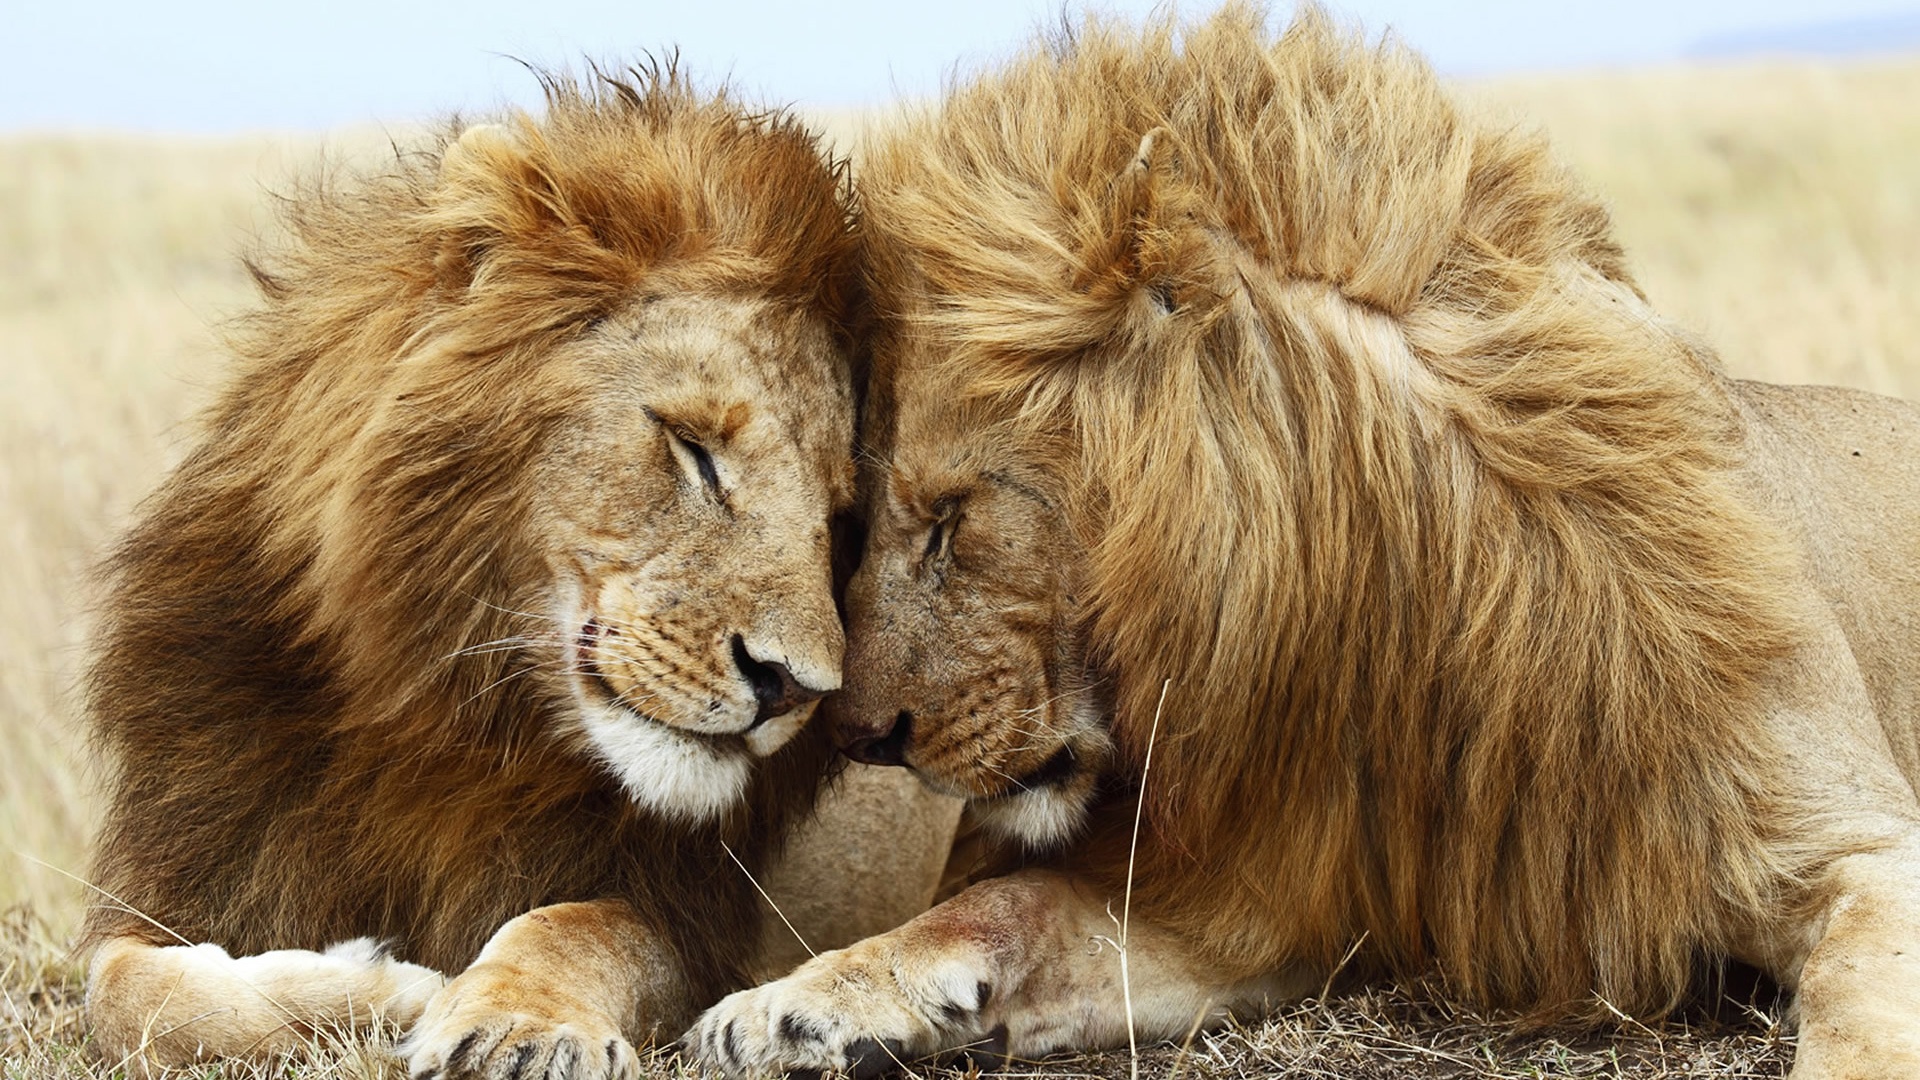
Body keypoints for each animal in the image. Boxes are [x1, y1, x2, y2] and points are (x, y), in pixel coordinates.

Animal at [78, 69, 960, 1080]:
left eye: (839, 518)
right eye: (693, 448)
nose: (792, 689)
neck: (447, 712)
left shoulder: (684, 916)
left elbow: (569, 927)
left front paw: (513, 1025)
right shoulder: (191, 870)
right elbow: (128, 993)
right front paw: (378, 986)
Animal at [689, 8, 1920, 1078]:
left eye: (949, 517)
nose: (858, 736)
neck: (1400, 605)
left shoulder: (1858, 846)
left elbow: (1864, 1013)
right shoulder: (1263, 893)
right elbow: (1007, 905)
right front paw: (797, 1002)